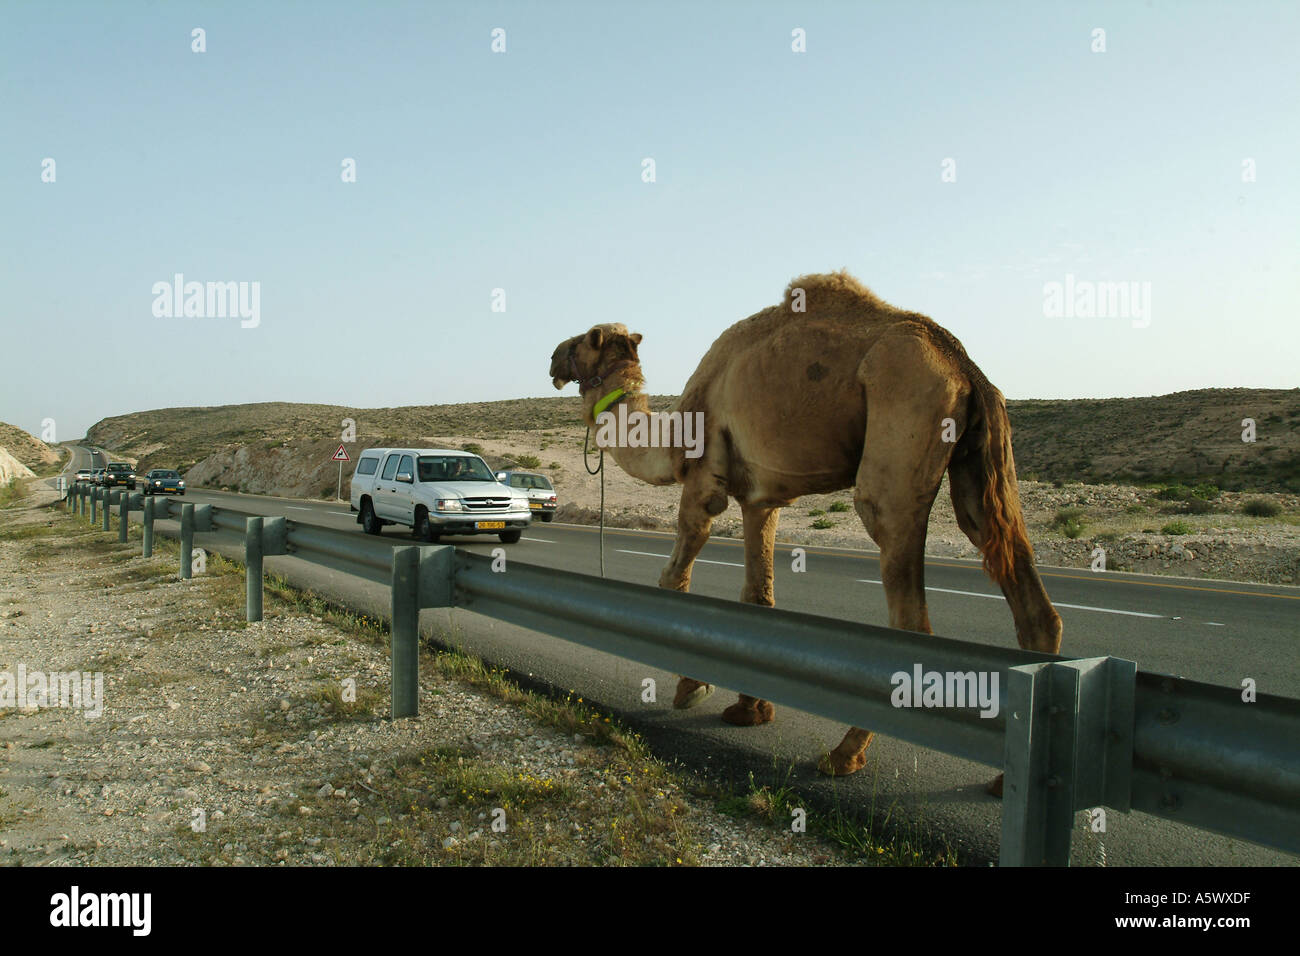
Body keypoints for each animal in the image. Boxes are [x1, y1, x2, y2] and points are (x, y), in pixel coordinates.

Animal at [543, 270, 1060, 785]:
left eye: (585, 339)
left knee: (907, 604)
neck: (671, 433)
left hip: (903, 428)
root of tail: (964, 368)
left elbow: (674, 577)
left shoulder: (704, 478)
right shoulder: (760, 499)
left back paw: (843, 754)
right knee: (1019, 580)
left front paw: (692, 689)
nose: (552, 356)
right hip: (980, 463)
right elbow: (758, 596)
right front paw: (749, 710)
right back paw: (1005, 778)